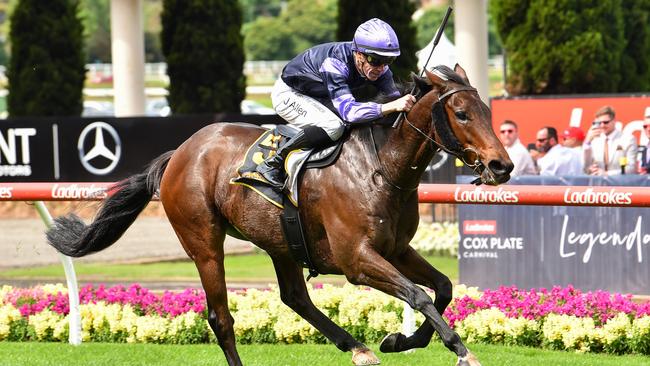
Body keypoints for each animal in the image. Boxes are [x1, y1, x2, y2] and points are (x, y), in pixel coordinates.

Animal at [45, 66, 512, 366]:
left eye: (488, 111)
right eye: (462, 113)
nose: (502, 165)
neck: (382, 168)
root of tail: (180, 153)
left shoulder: (395, 248)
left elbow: (442, 287)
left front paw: (399, 340)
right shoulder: (356, 259)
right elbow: (417, 295)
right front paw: (460, 349)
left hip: (282, 241)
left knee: (294, 297)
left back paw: (358, 348)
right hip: (204, 243)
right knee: (221, 318)